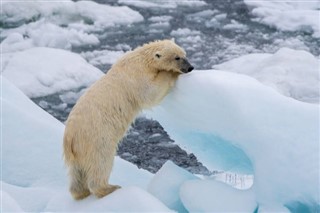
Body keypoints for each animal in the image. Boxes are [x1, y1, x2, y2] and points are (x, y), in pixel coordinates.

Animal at [62, 38, 192, 200]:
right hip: (96, 138)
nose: (190, 67)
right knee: (101, 161)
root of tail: (69, 138)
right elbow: (149, 92)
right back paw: (109, 188)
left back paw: (80, 192)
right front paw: (170, 73)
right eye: (177, 58)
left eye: (184, 54)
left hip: (79, 149)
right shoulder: (136, 77)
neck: (141, 60)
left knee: (77, 172)